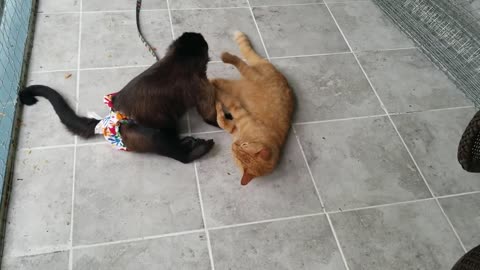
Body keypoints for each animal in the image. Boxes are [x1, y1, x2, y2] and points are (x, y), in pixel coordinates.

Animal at [18, 31, 218, 162]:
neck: (178, 59)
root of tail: (109, 119)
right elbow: (208, 114)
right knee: (157, 137)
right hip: (134, 134)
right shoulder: (198, 82)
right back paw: (190, 153)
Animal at [212, 30, 294, 185]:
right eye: (244, 145)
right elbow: (226, 103)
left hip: (235, 86)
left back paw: (208, 81)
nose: (234, 146)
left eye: (238, 154)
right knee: (240, 63)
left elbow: (222, 118)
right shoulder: (239, 113)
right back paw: (225, 57)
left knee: (218, 81)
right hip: (252, 76)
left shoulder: (234, 122)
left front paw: (218, 104)